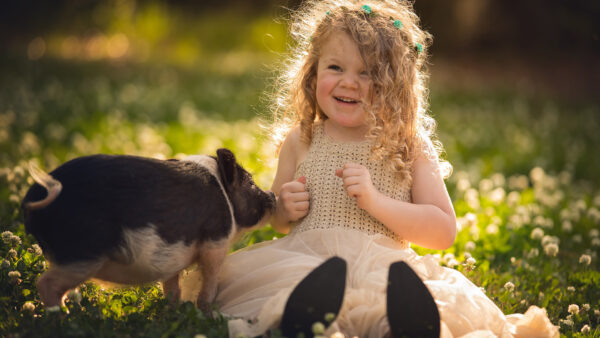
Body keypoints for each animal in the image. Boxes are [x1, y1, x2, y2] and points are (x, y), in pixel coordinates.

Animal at [21, 149, 276, 310]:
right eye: (251, 183)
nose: (273, 195)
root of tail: (36, 193)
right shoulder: (216, 240)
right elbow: (210, 282)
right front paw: (208, 312)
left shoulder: (175, 255)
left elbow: (172, 288)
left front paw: (172, 311)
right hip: (82, 253)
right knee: (46, 284)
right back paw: (65, 318)